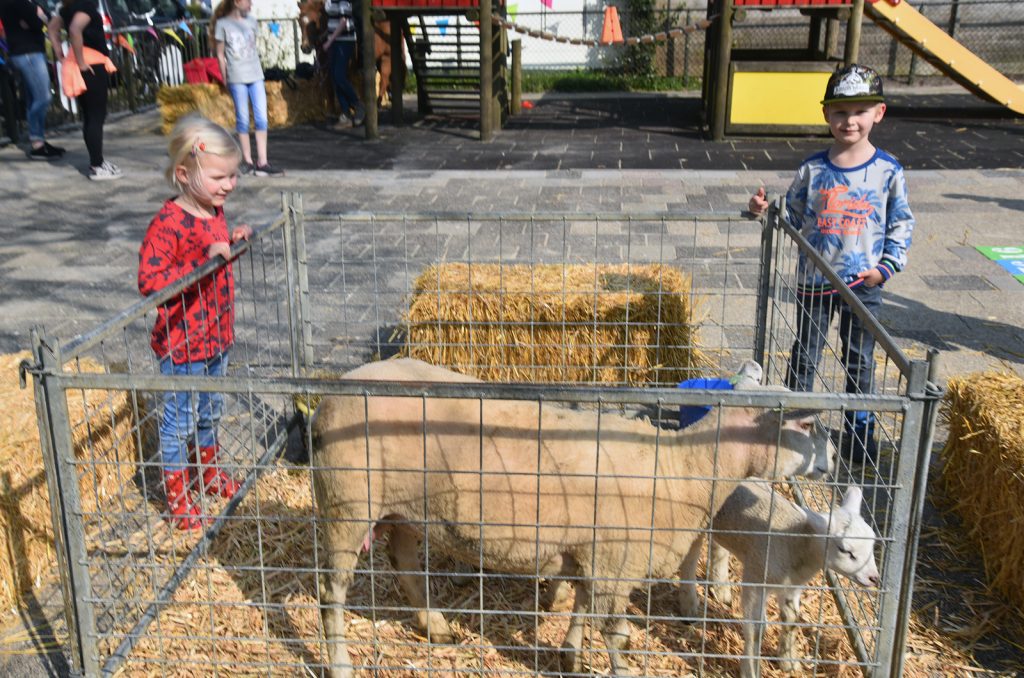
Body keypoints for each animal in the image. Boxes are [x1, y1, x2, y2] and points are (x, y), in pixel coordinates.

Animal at [313, 358, 839, 675]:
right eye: (806, 423)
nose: (835, 459)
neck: (683, 468)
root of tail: (329, 398)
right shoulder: (614, 561)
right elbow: (617, 635)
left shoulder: (595, 555)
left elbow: (582, 605)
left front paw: (569, 653)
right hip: (346, 505)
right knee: (330, 592)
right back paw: (339, 662)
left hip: (398, 508)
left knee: (403, 562)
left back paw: (435, 626)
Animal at [679, 483, 880, 678]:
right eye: (845, 550)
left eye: (872, 543)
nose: (874, 578)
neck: (797, 544)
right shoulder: (756, 579)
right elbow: (755, 630)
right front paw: (750, 670)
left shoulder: (793, 586)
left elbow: (791, 619)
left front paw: (788, 662)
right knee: (690, 557)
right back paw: (689, 607)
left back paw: (721, 589)